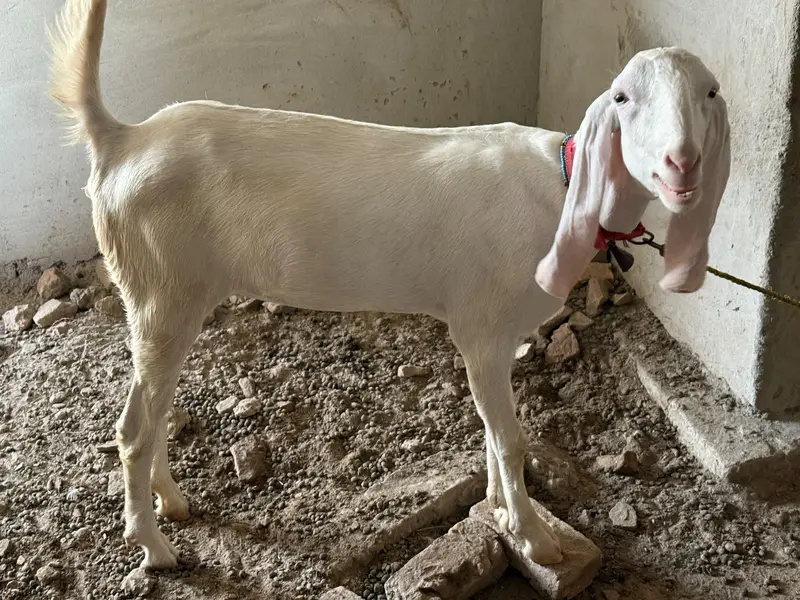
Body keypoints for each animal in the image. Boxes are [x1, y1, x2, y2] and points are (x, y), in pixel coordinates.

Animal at [47, 0, 730, 571]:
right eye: (622, 97)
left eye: (711, 92)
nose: (681, 164)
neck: (558, 188)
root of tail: (121, 140)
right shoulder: (480, 328)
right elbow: (511, 441)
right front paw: (536, 539)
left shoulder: (500, 336)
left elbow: (493, 435)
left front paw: (501, 510)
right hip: (160, 292)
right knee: (132, 429)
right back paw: (156, 547)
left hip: (171, 297)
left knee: (152, 411)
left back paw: (173, 502)